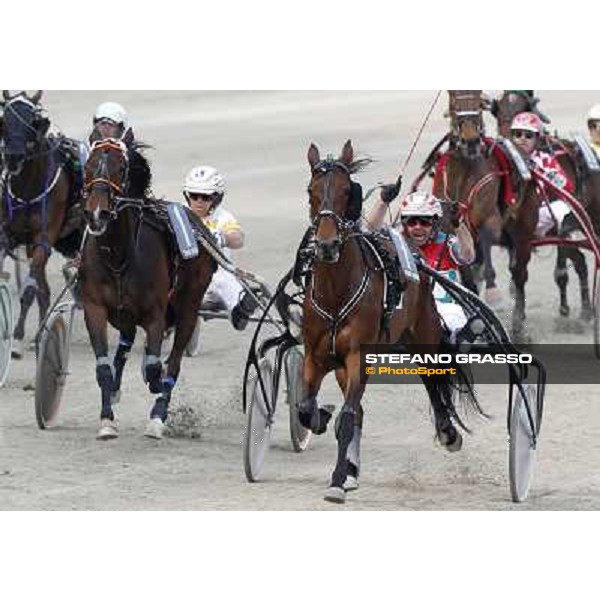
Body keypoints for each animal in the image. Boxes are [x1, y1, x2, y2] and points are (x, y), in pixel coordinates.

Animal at [0, 91, 82, 358]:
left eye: (32, 122)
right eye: (5, 120)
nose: (13, 156)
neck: (28, 189)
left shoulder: (43, 241)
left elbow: (28, 291)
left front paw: (16, 340)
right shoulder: (8, 237)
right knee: (44, 291)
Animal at [81, 137, 217, 440]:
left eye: (121, 169)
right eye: (87, 165)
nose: (97, 213)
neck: (118, 257)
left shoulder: (156, 312)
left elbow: (156, 368)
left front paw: (154, 392)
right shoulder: (94, 308)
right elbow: (103, 368)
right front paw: (107, 420)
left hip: (190, 304)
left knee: (174, 360)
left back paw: (158, 413)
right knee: (126, 341)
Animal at [300, 141, 482, 502]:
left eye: (346, 191)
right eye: (311, 191)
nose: (326, 246)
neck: (336, 291)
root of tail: (417, 261)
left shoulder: (358, 356)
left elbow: (348, 417)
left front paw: (337, 481)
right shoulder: (317, 355)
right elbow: (306, 408)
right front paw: (321, 418)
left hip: (424, 335)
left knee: (432, 378)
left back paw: (448, 431)